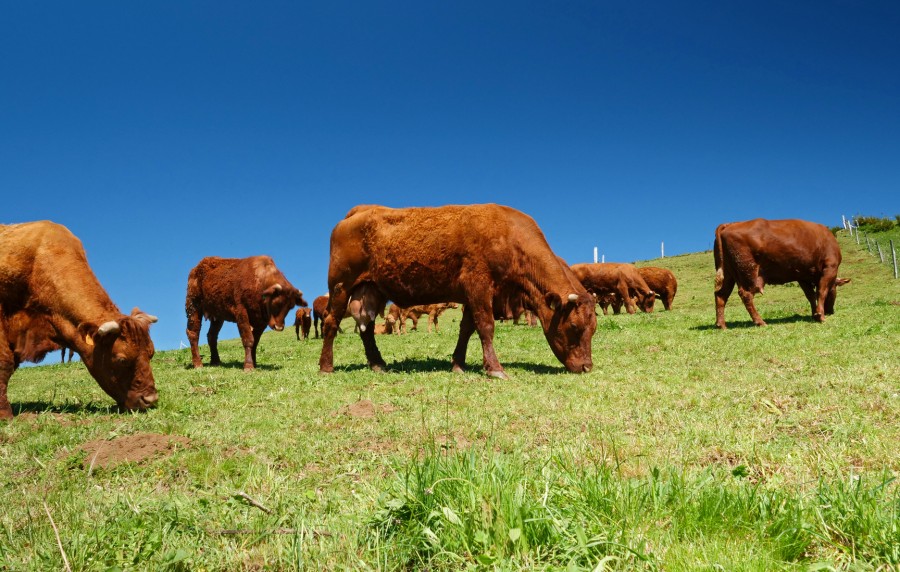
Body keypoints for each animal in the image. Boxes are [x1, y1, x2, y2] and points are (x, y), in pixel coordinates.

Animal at [318, 203, 596, 378]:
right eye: (573, 327)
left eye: (593, 329)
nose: (587, 367)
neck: (508, 236)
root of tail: (360, 211)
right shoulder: (479, 286)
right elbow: (486, 327)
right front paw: (495, 369)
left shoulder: (475, 294)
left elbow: (467, 329)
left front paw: (458, 364)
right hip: (340, 286)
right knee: (332, 322)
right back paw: (326, 366)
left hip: (371, 290)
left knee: (365, 325)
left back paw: (377, 363)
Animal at [712, 217, 848, 328]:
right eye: (835, 288)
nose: (830, 311)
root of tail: (730, 224)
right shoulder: (830, 267)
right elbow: (821, 291)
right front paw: (820, 316)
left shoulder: (802, 276)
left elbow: (811, 295)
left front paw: (815, 314)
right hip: (748, 272)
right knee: (746, 295)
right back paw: (760, 321)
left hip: (728, 274)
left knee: (721, 295)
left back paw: (721, 325)